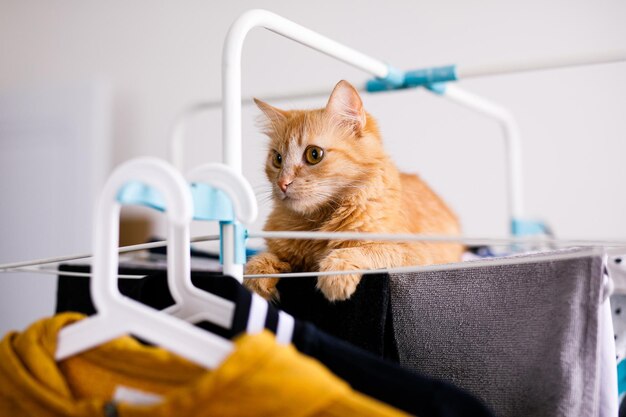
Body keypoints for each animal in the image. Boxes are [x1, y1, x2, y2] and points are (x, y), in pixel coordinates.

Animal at [243, 79, 458, 300]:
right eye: (277, 159)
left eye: (314, 154)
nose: (282, 183)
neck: (315, 224)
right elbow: (260, 259)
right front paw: (258, 277)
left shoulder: (415, 253)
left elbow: (364, 250)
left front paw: (335, 273)